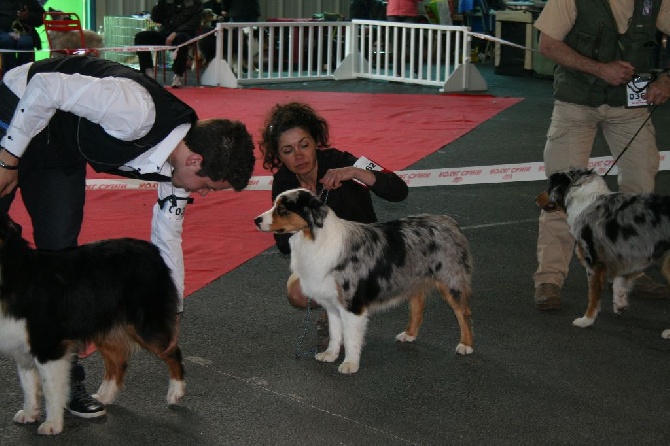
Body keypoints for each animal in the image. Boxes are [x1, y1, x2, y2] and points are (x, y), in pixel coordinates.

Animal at [540, 169, 670, 336]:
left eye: (549, 187)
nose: (535, 199)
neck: (582, 199)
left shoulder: (594, 263)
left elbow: (593, 297)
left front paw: (586, 320)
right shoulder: (627, 253)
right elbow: (619, 280)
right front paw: (619, 303)